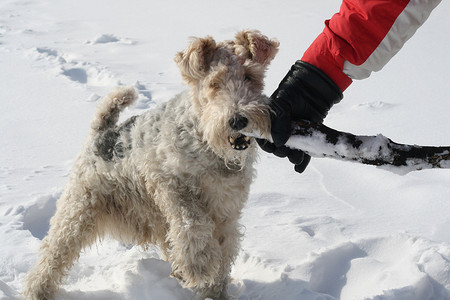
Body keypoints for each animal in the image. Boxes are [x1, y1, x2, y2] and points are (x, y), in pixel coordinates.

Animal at [23, 28, 278, 300]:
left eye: (250, 76)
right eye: (214, 83)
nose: (238, 120)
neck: (207, 145)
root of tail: (102, 132)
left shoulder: (226, 209)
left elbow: (223, 247)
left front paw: (214, 290)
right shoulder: (167, 180)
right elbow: (192, 221)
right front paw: (199, 265)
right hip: (79, 208)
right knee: (53, 252)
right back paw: (36, 290)